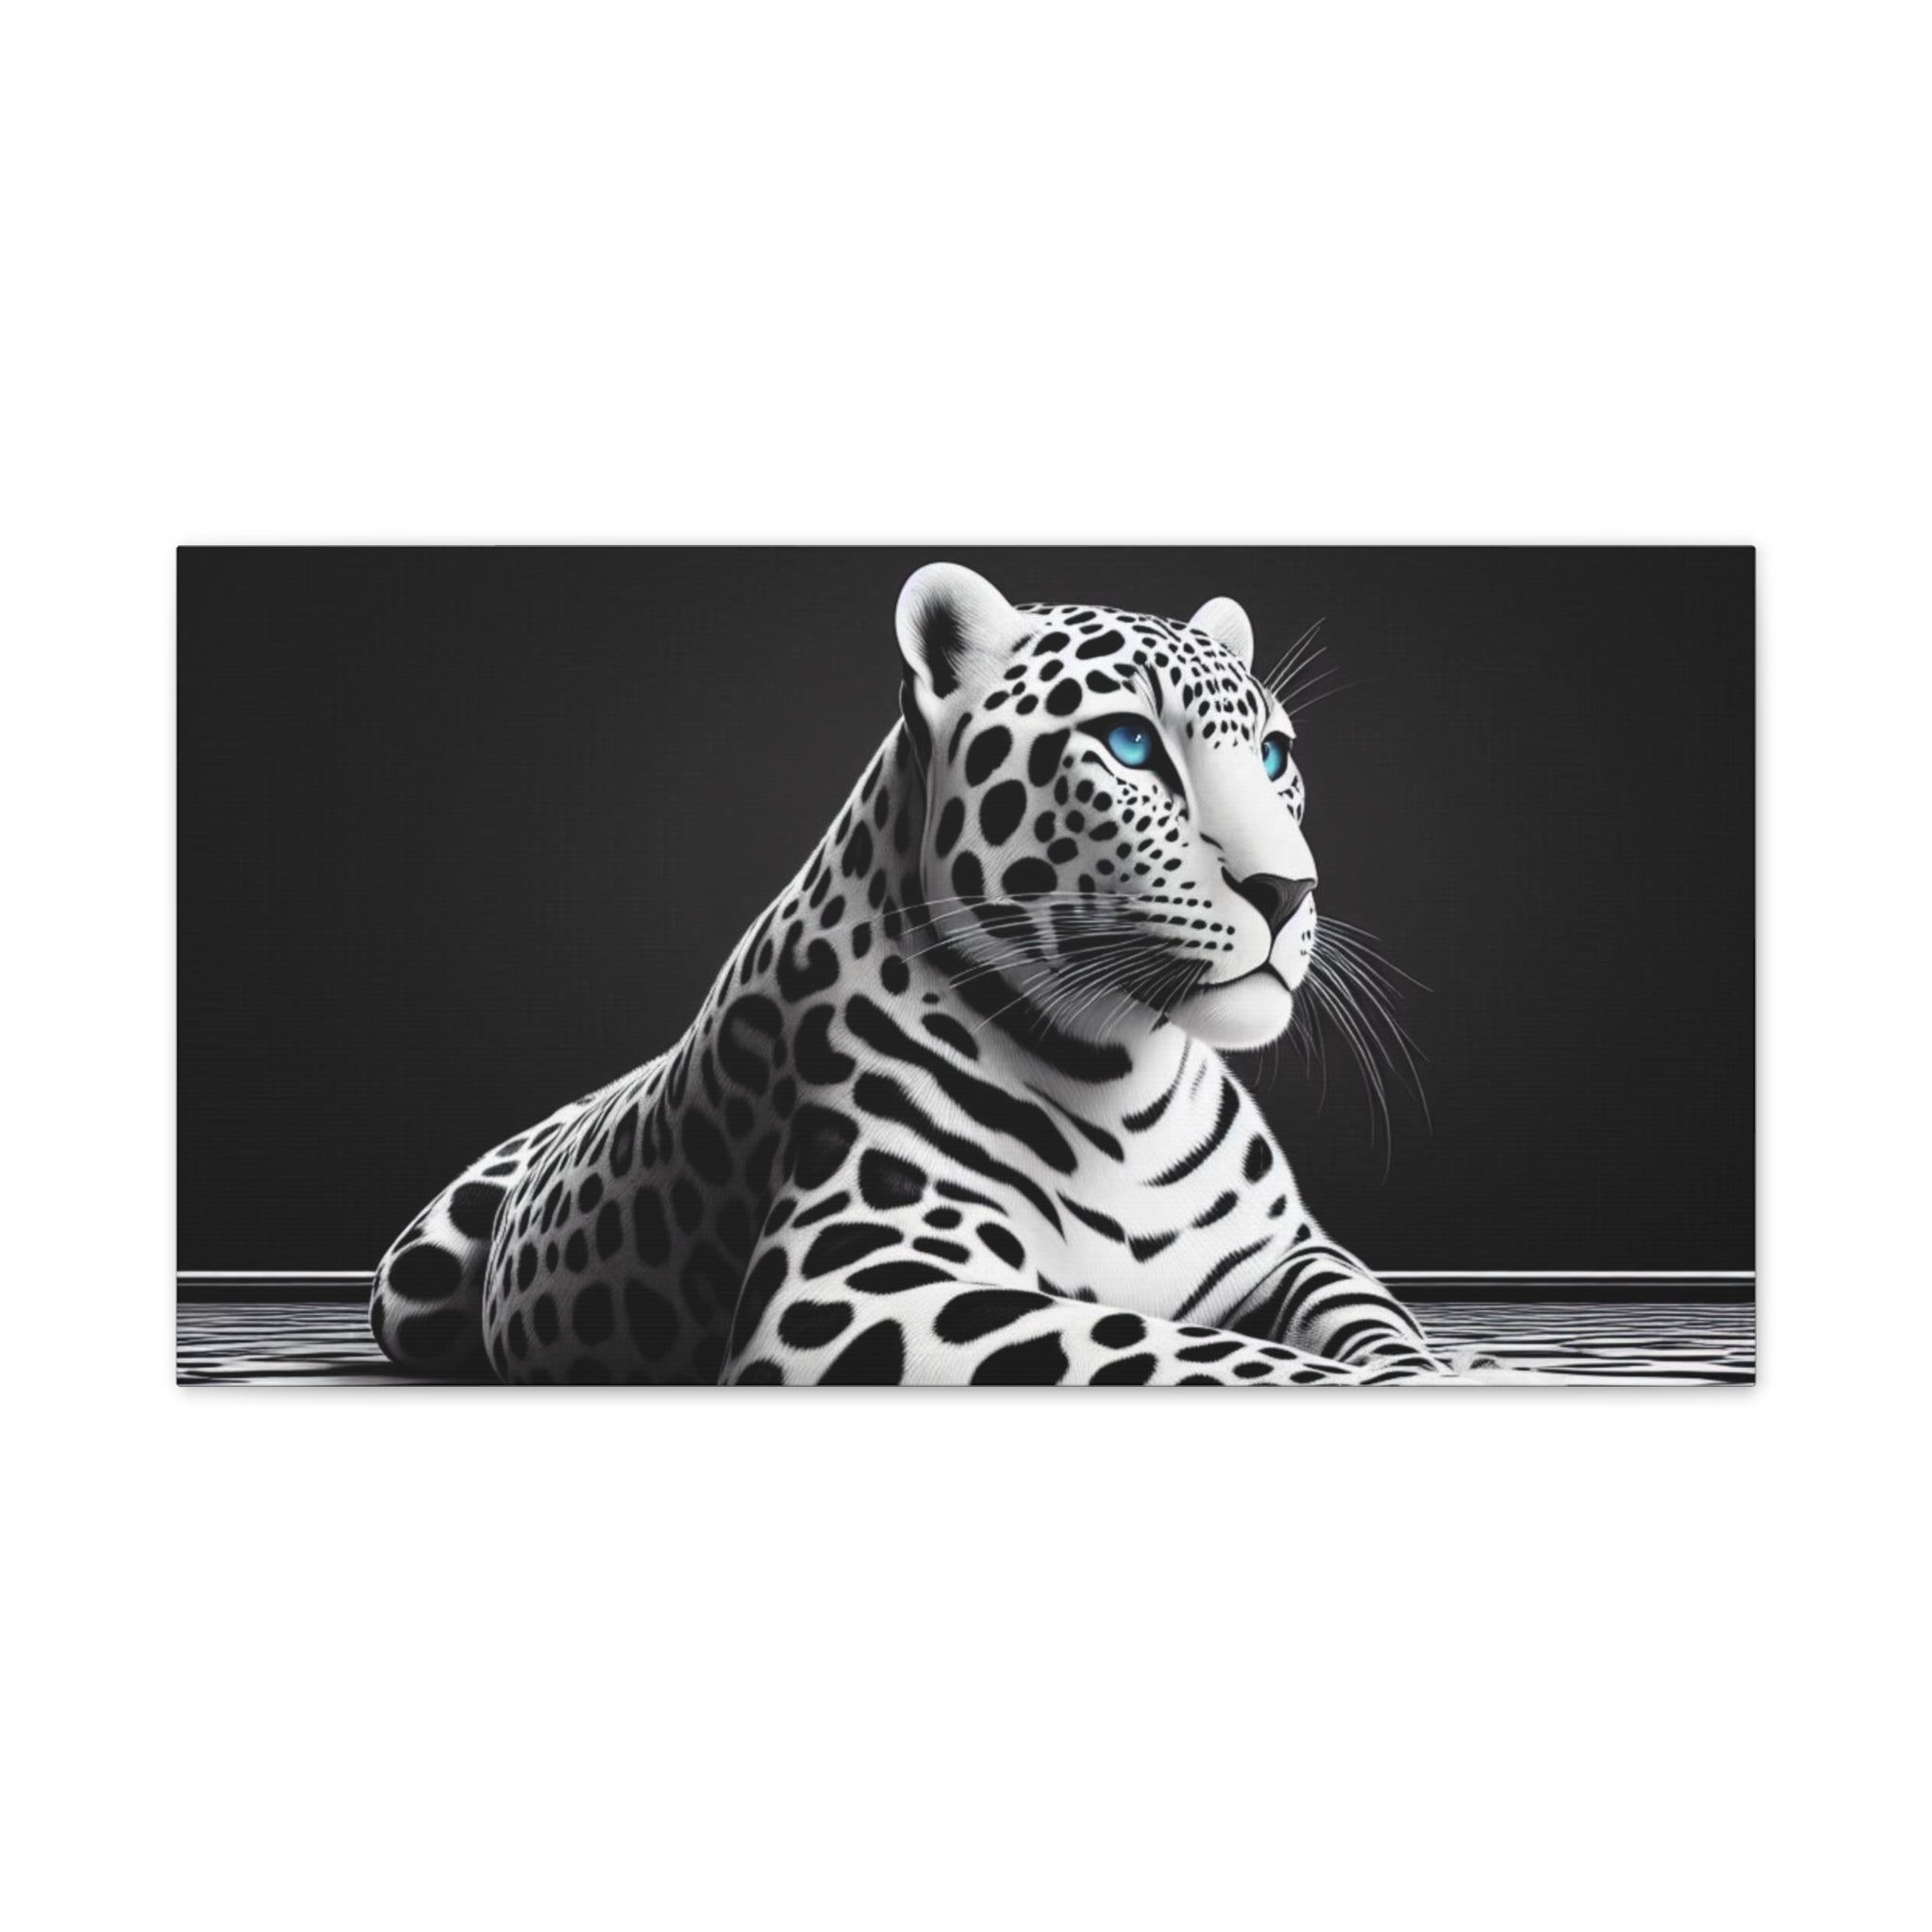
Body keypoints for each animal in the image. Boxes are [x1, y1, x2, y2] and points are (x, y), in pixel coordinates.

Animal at [370, 562, 1444, 1385]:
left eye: (1274, 755)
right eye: (1131, 743)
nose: (1288, 890)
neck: (1124, 1080)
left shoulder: (1291, 1252)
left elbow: (1369, 1315)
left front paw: (1422, 1367)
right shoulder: (851, 1285)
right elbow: (1175, 1348)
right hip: (410, 1281)